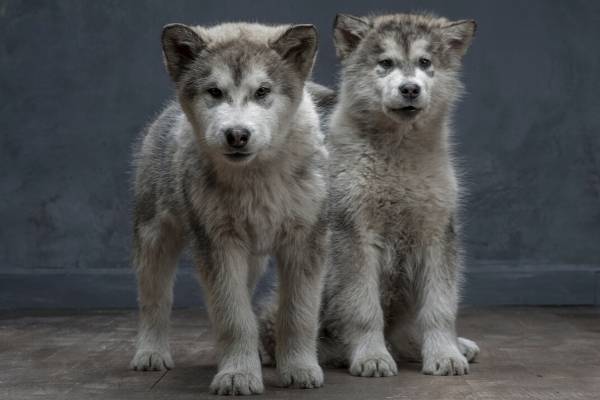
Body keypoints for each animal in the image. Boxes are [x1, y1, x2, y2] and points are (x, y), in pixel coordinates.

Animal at [129, 21, 330, 394]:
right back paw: (151, 352)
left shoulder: (306, 241)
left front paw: (299, 368)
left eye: (263, 91)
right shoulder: (218, 244)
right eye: (214, 92)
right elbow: (233, 316)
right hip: (154, 237)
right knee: (154, 300)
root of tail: (167, 111)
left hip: (253, 259)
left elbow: (299, 313)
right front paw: (237, 374)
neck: (256, 178)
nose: (237, 135)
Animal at [318, 12, 482, 376]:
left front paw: (445, 354)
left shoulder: (438, 235)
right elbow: (364, 309)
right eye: (386, 63)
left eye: (425, 62)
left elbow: (439, 308)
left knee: (406, 330)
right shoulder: (355, 235)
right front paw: (371, 356)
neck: (399, 154)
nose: (410, 88)